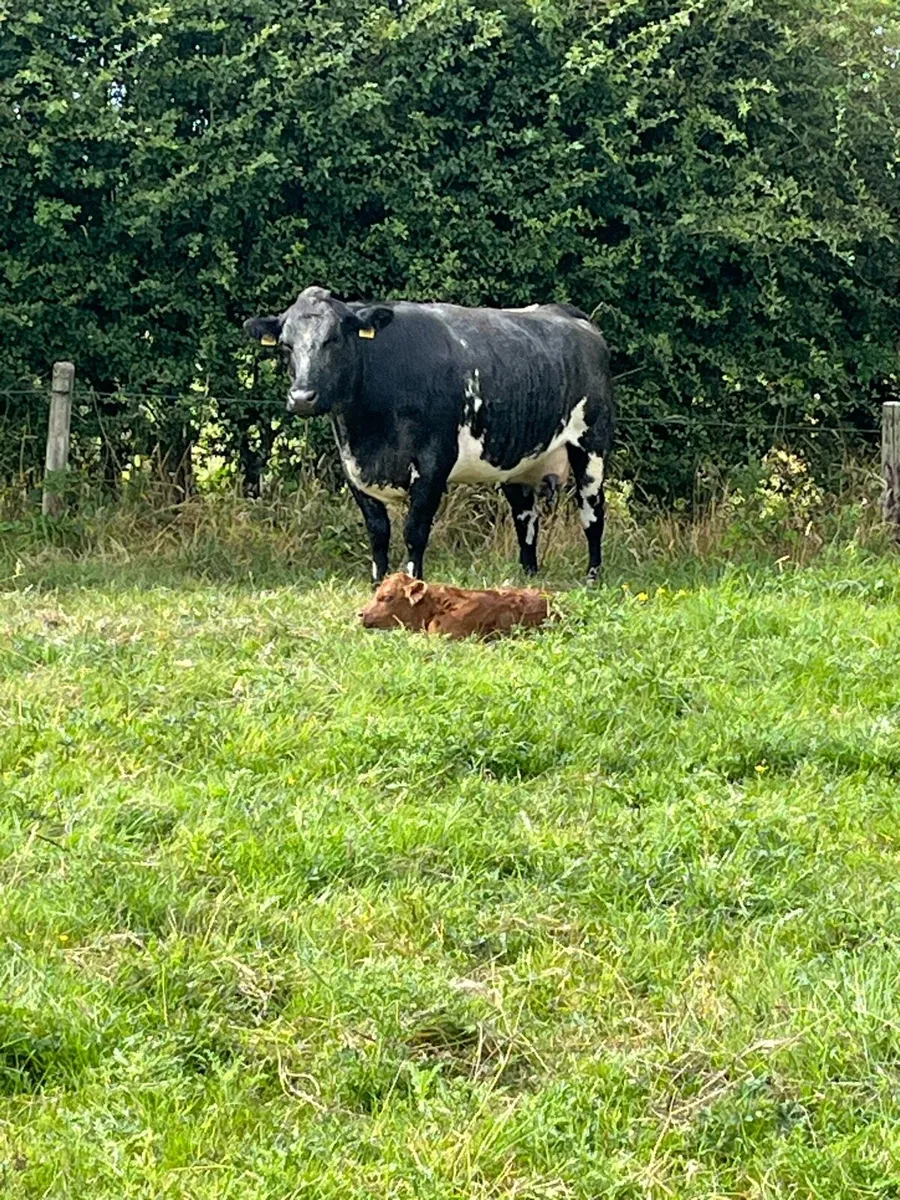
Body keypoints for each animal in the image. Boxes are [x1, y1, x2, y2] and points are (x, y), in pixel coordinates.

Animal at [244, 286, 615, 583]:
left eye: (334, 339)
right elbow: (377, 532)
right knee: (525, 518)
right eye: (286, 346)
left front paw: (412, 582)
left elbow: (414, 530)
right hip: (520, 461)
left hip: (591, 446)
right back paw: (527, 575)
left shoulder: (433, 464)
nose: (301, 397)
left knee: (592, 511)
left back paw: (593, 575)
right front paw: (378, 585)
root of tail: (566, 313)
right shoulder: (353, 468)